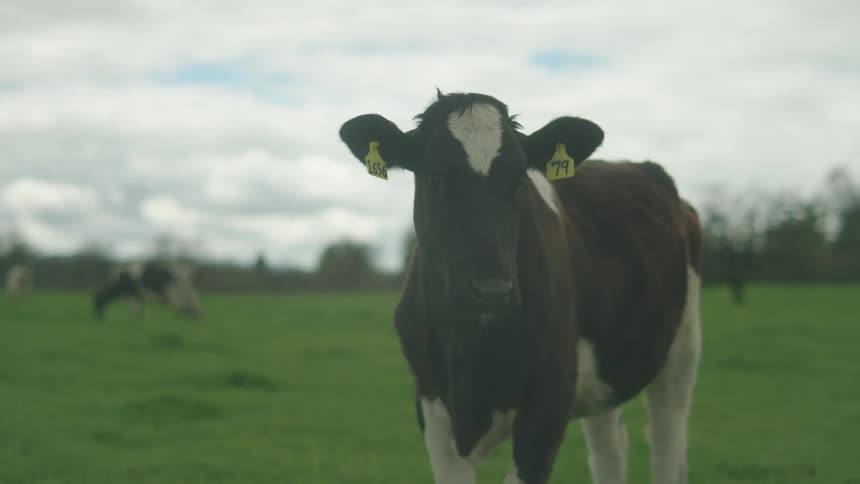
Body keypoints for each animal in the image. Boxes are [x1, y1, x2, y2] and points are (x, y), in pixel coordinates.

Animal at [339, 91, 702, 484]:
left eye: (518, 183)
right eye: (435, 178)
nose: (492, 290)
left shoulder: (548, 401)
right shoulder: (431, 403)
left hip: (680, 357)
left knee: (668, 446)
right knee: (610, 449)